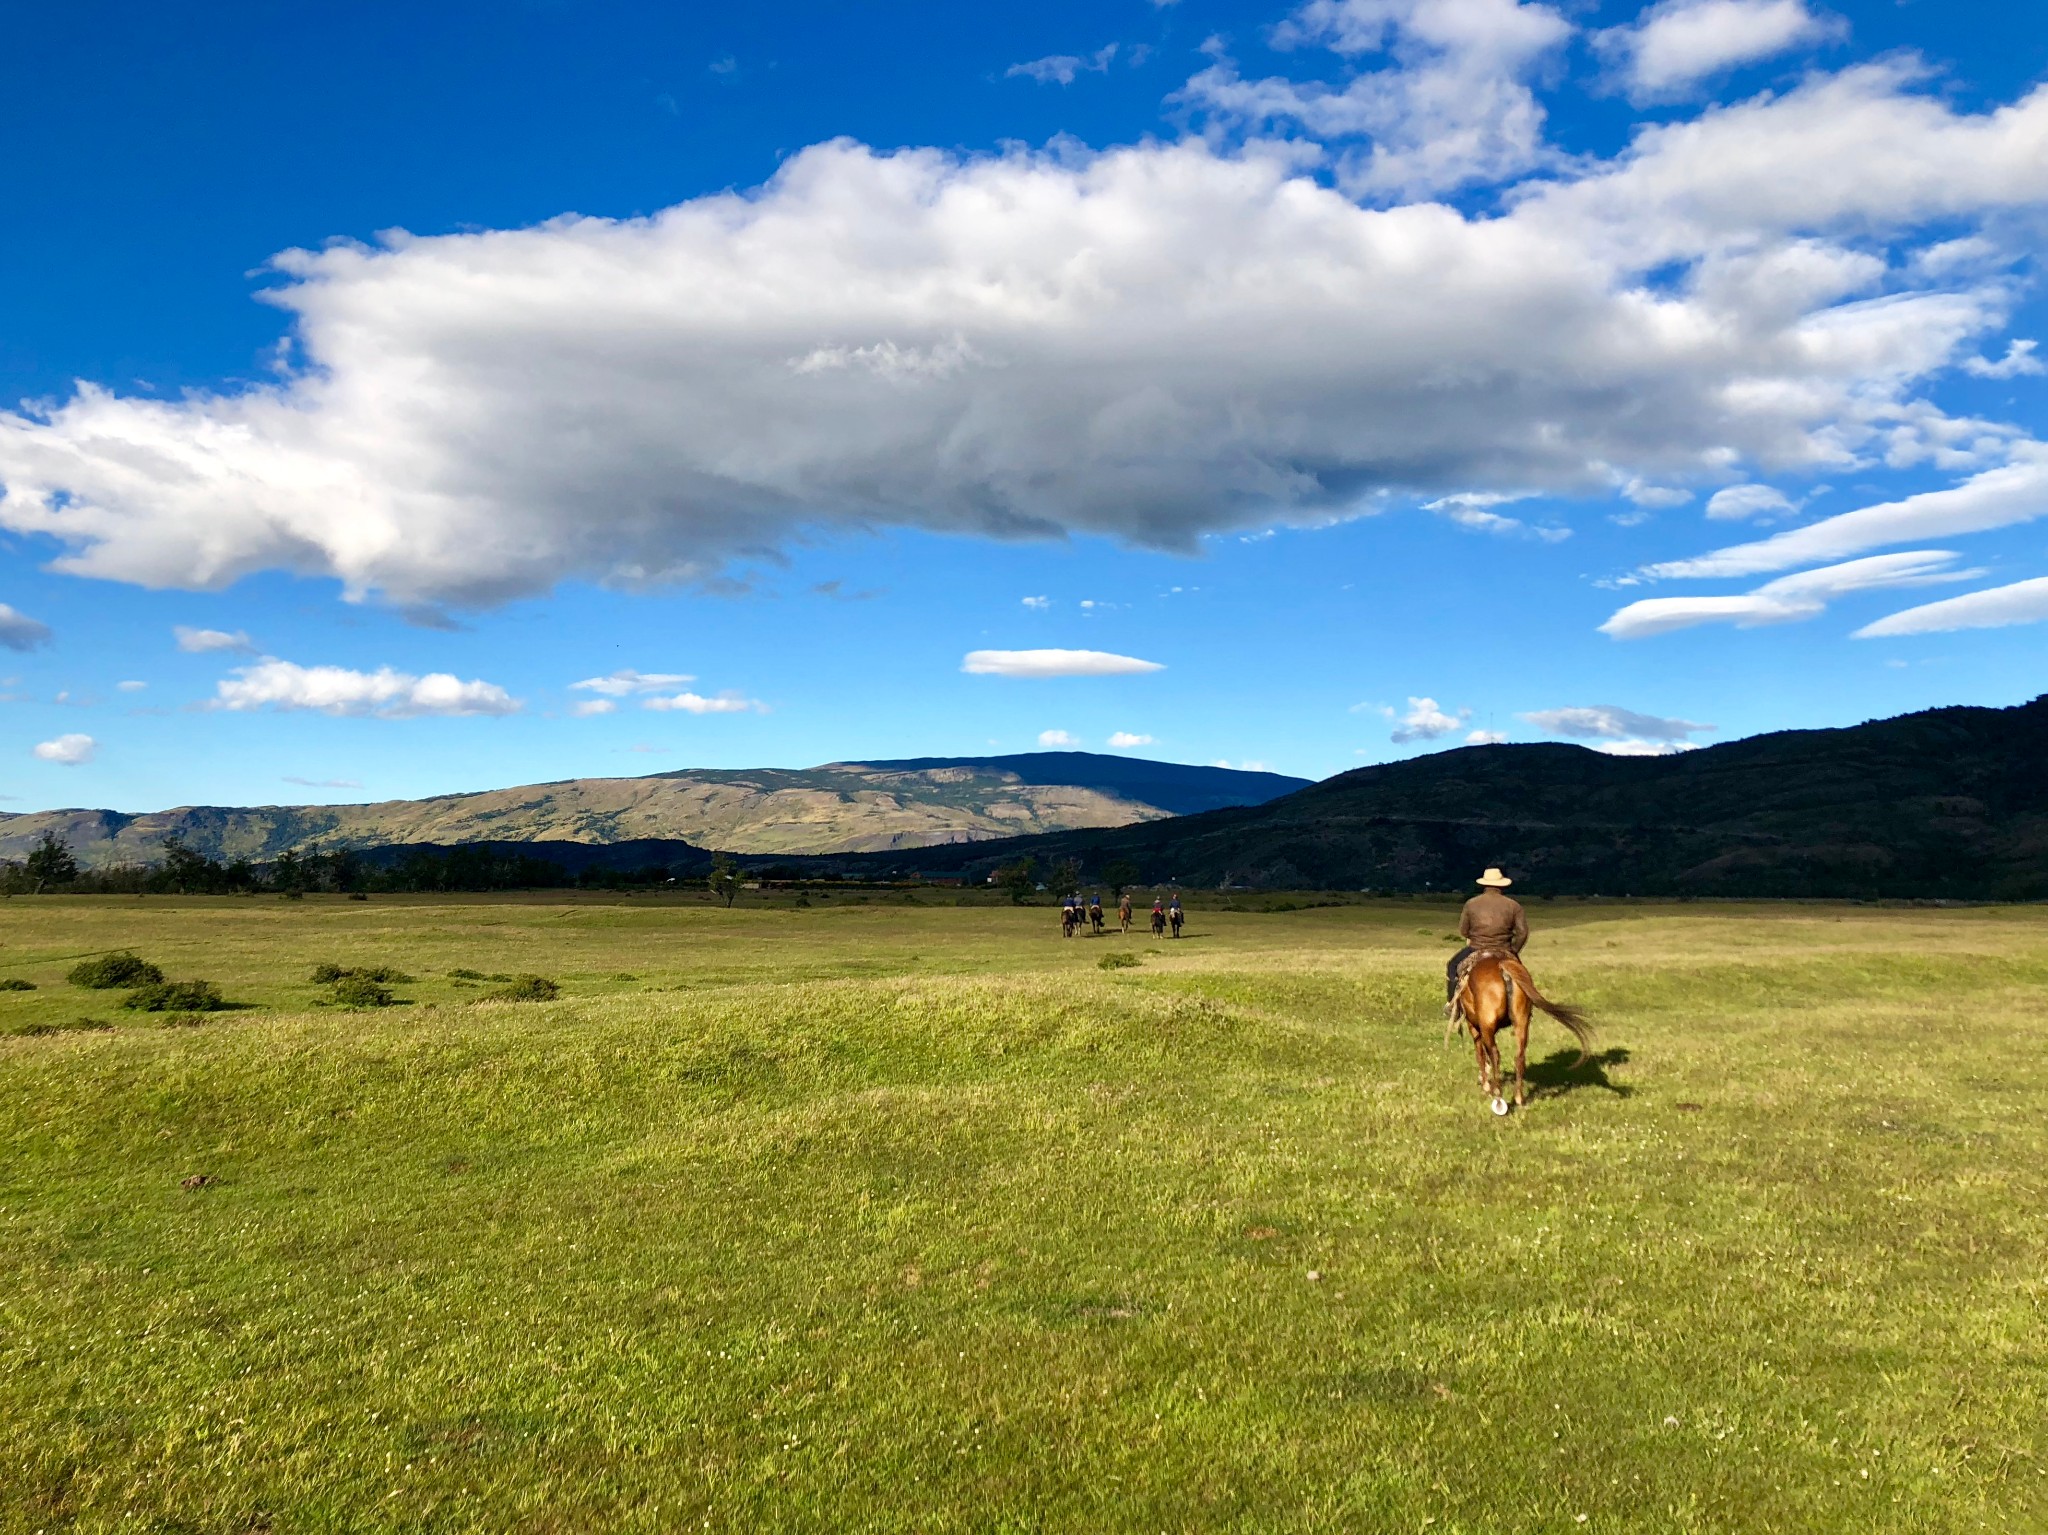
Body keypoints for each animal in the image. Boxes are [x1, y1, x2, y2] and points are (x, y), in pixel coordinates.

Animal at [1449, 949, 1589, 1121]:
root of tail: (1502, 966)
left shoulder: (1474, 1026)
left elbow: (1481, 1054)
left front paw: (1485, 1085)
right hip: (1522, 1022)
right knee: (1519, 1056)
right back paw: (1519, 1098)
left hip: (1487, 1025)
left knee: (1495, 1054)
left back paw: (1498, 1098)